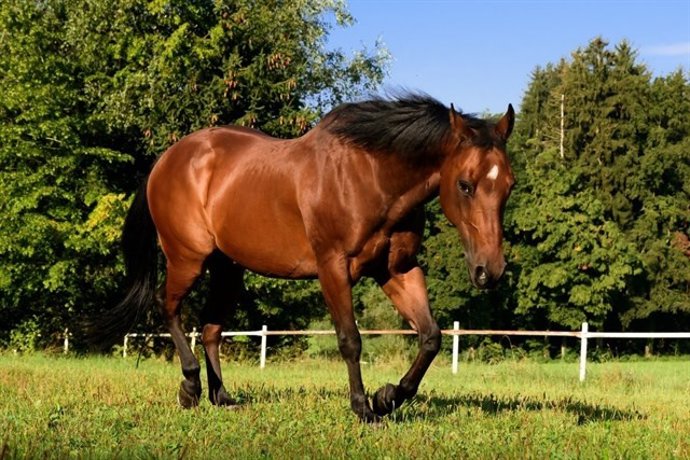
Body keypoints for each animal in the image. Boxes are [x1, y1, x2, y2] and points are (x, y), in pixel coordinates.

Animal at [101, 93, 515, 422]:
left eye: (508, 186)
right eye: (465, 184)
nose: (489, 271)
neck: (371, 177)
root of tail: (165, 161)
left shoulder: (398, 270)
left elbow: (430, 337)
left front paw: (387, 398)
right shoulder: (333, 268)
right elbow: (350, 340)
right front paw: (363, 408)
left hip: (227, 268)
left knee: (211, 328)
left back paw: (223, 397)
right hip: (187, 259)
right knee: (168, 307)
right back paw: (190, 387)